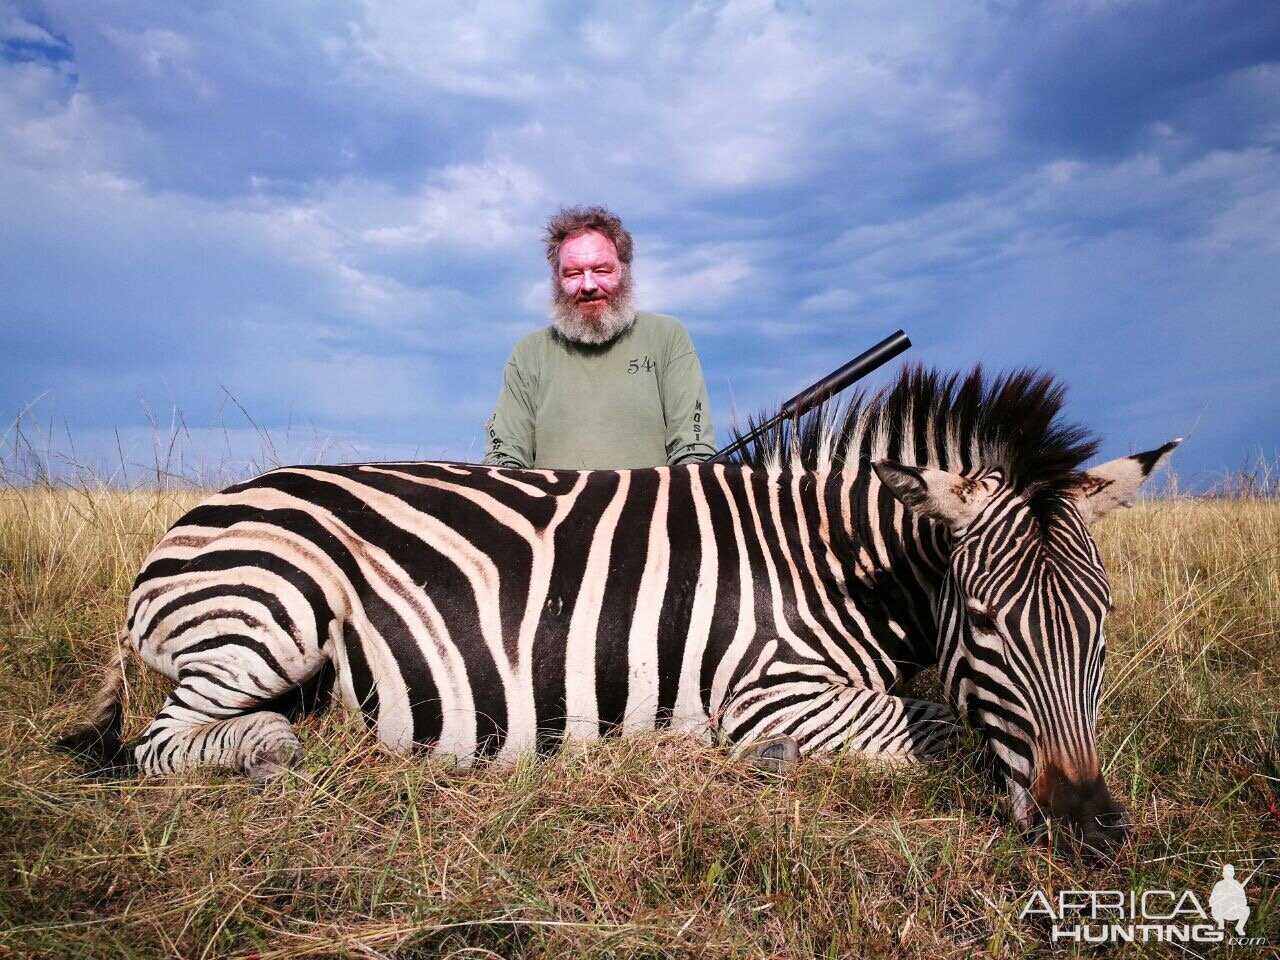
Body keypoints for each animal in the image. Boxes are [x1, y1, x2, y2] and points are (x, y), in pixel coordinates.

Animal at [60, 366, 1177, 849]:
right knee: (164, 744)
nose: (1088, 829)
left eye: (1103, 628)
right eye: (983, 623)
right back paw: (268, 752)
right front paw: (766, 764)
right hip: (272, 608)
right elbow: (937, 727)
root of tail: (188, 523)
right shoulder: (769, 690)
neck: (833, 560)